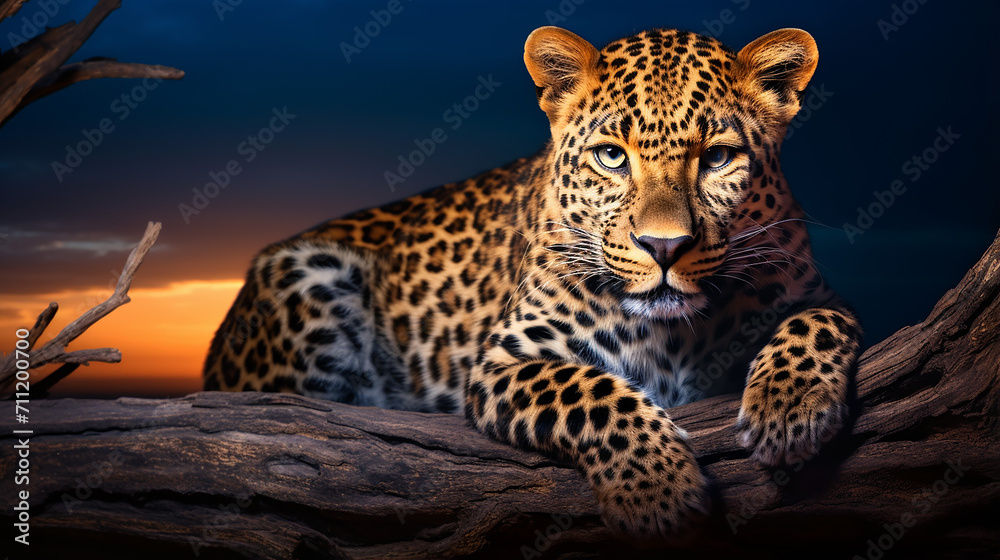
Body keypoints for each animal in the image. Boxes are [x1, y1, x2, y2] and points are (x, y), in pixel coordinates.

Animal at [203, 25, 862, 539]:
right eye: (612, 156)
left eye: (718, 158)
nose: (664, 246)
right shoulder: (505, 362)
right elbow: (590, 392)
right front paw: (658, 489)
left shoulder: (815, 294)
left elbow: (819, 321)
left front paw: (790, 409)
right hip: (309, 276)